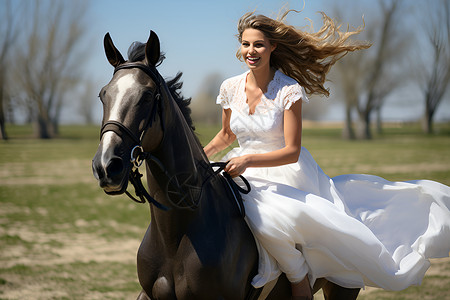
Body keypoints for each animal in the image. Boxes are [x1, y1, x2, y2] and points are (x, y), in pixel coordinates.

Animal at [91, 30, 358, 300]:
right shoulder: (148, 295)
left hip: (343, 289)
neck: (175, 234)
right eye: (103, 95)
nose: (106, 166)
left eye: (146, 96)